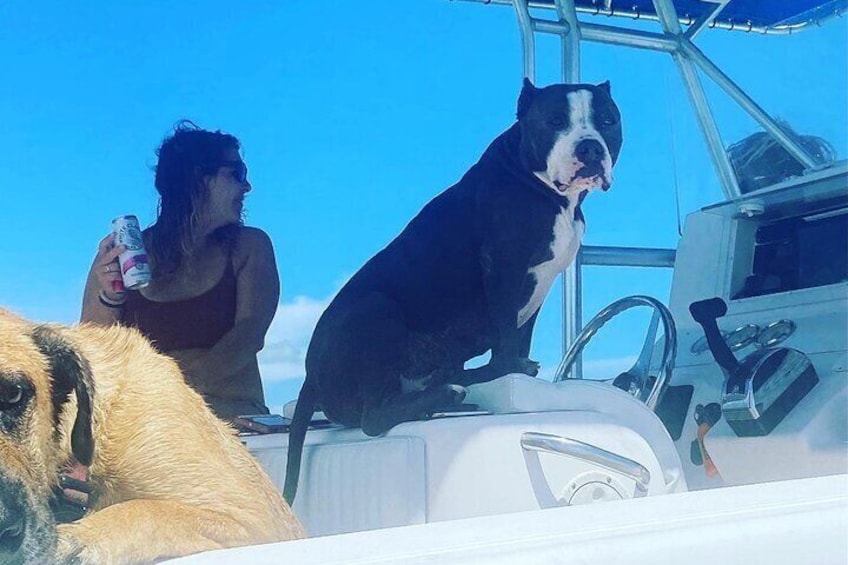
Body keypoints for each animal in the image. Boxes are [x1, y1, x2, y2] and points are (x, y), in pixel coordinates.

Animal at [284, 80, 624, 502]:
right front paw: (509, 370)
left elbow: (520, 335)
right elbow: (506, 340)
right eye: (554, 121)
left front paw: (518, 367)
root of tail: (309, 378)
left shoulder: (537, 288)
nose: (589, 148)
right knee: (374, 416)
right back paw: (450, 391)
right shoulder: (504, 270)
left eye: (607, 120)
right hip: (375, 308)